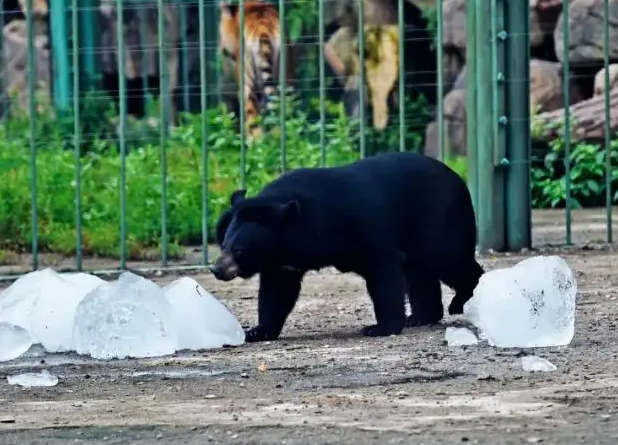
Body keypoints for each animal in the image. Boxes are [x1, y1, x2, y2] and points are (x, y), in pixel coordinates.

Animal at [209, 151, 484, 342]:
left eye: (239, 250)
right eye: (224, 244)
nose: (216, 269)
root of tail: (459, 178)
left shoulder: (361, 226)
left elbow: (383, 270)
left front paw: (379, 328)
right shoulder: (281, 261)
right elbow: (277, 292)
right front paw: (257, 331)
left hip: (440, 218)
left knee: (451, 260)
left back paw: (464, 301)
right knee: (420, 273)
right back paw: (419, 317)